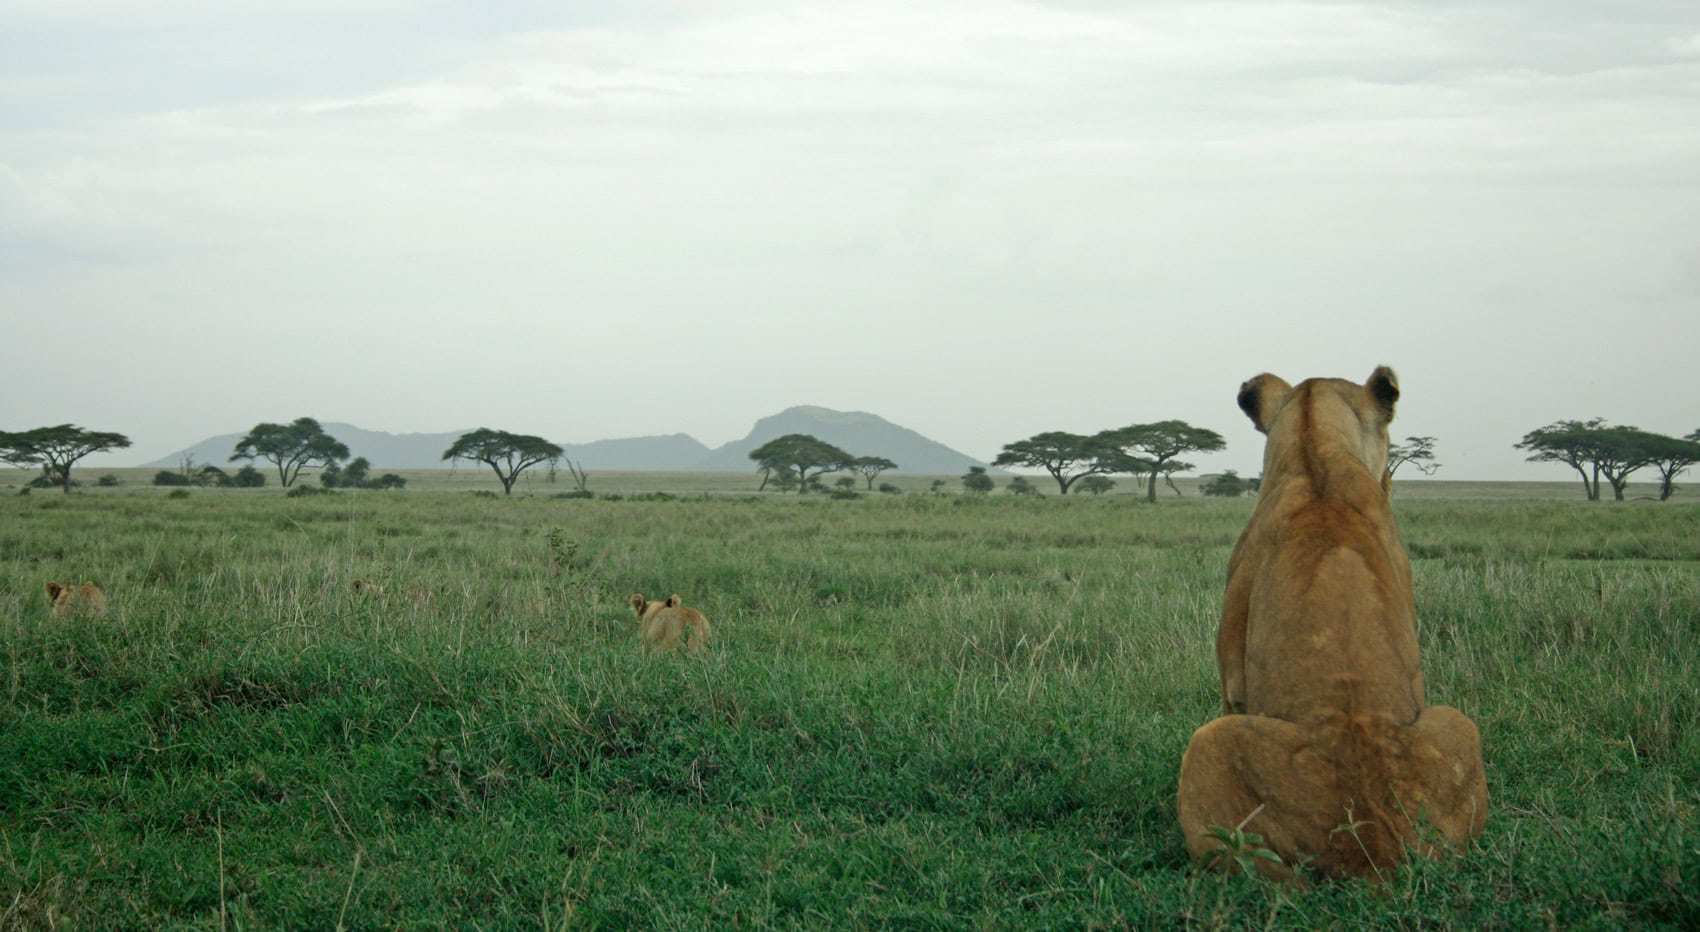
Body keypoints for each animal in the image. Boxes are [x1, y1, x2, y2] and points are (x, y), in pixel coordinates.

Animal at [1176, 367, 1487, 881]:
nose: (1390, 481)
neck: (1315, 450)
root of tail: (1373, 840)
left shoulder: (1232, 677)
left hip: (1207, 745)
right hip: (1459, 723)